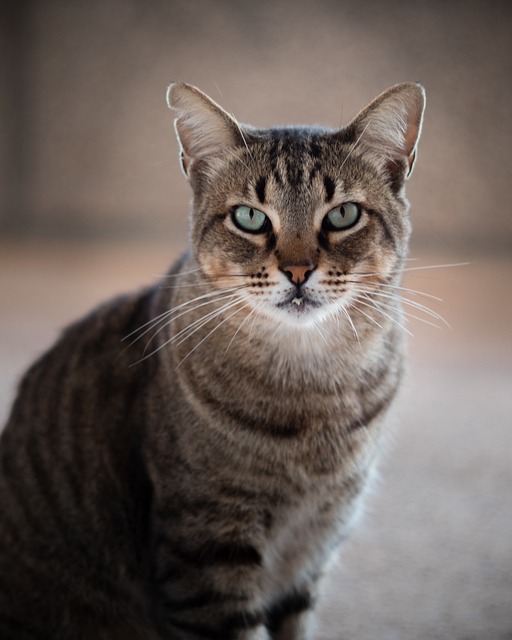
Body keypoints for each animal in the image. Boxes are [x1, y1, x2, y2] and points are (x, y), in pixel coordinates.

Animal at [0, 81, 424, 640]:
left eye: (342, 215)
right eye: (250, 217)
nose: (298, 270)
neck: (312, 395)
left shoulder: (314, 545)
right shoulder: (206, 548)